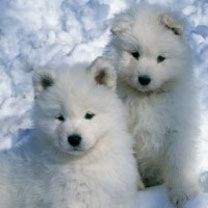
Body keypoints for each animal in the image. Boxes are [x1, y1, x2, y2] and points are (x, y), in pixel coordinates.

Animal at [105, 3, 200, 208]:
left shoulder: (176, 130)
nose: (144, 79)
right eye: (135, 54)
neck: (147, 98)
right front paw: (136, 190)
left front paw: (184, 194)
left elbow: (178, 162)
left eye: (161, 58)